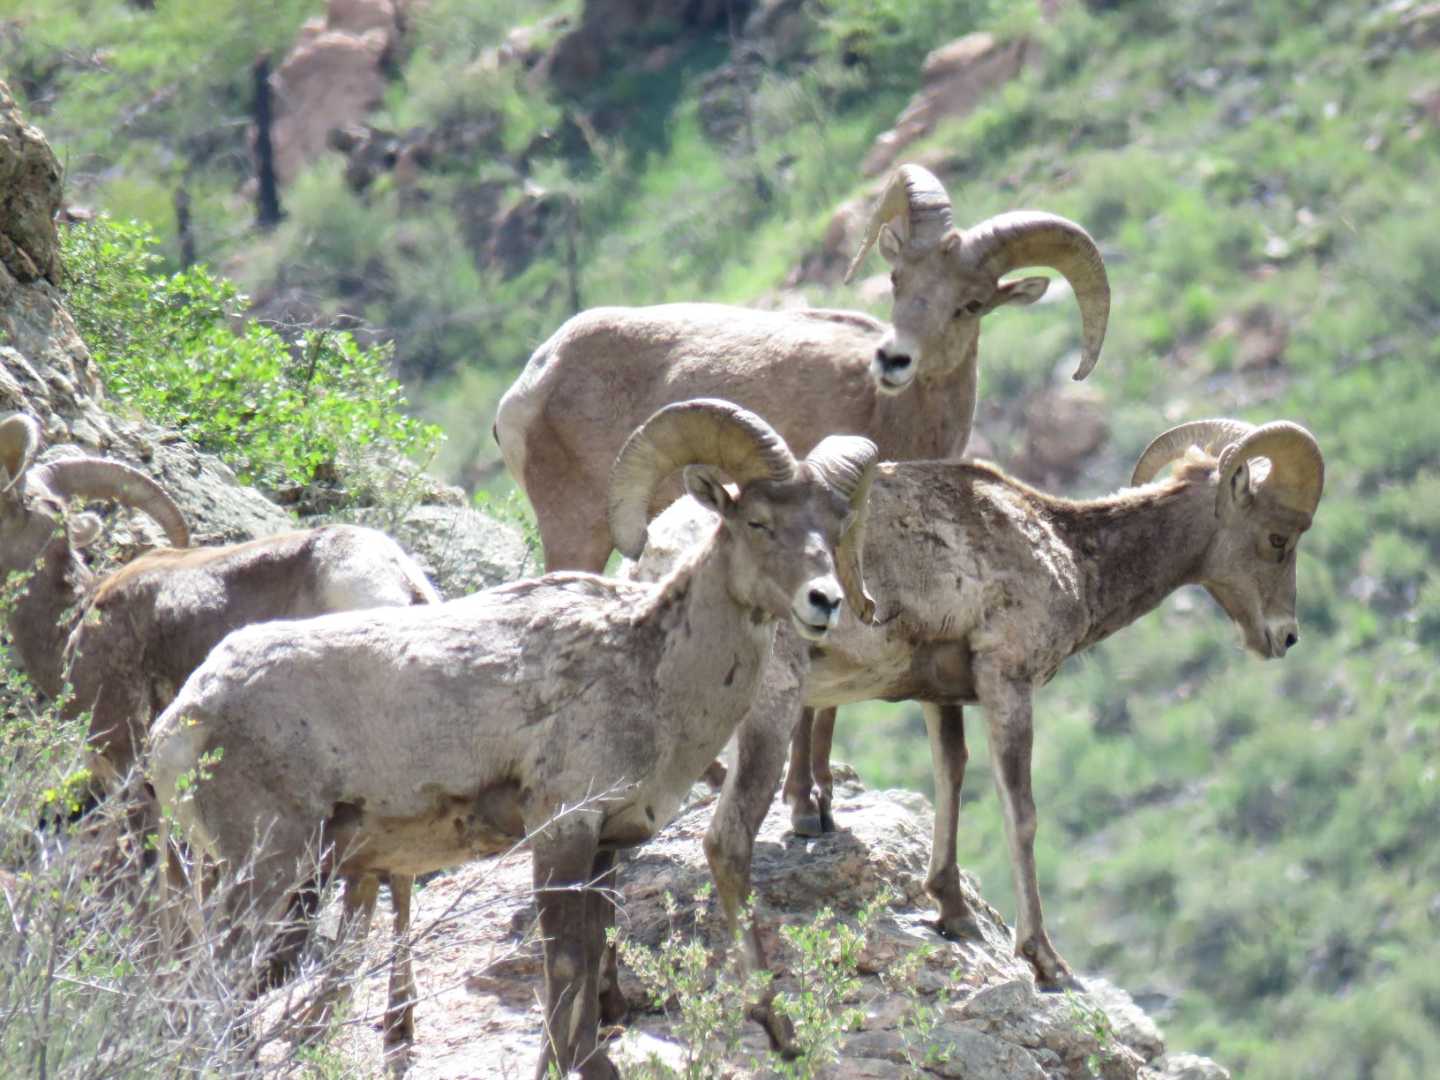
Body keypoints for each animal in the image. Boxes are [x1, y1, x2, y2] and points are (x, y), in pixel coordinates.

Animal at [151, 403, 881, 1077]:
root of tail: (183, 720)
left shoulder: (605, 846)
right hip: (266, 870)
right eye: (757, 522)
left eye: (834, 527)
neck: (650, 668)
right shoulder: (561, 831)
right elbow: (565, 972)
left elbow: (587, 977)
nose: (824, 602)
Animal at [489, 162, 1105, 576]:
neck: (885, 412)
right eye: (898, 279)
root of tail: (531, 384)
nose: (893, 360)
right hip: (577, 533)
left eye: (971, 304)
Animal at [633, 417, 1324, 996]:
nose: (1285, 637)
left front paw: (952, 911)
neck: (1066, 549)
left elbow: (952, 777)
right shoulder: (1006, 682)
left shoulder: (941, 696)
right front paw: (1045, 960)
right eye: (1277, 538)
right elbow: (1021, 814)